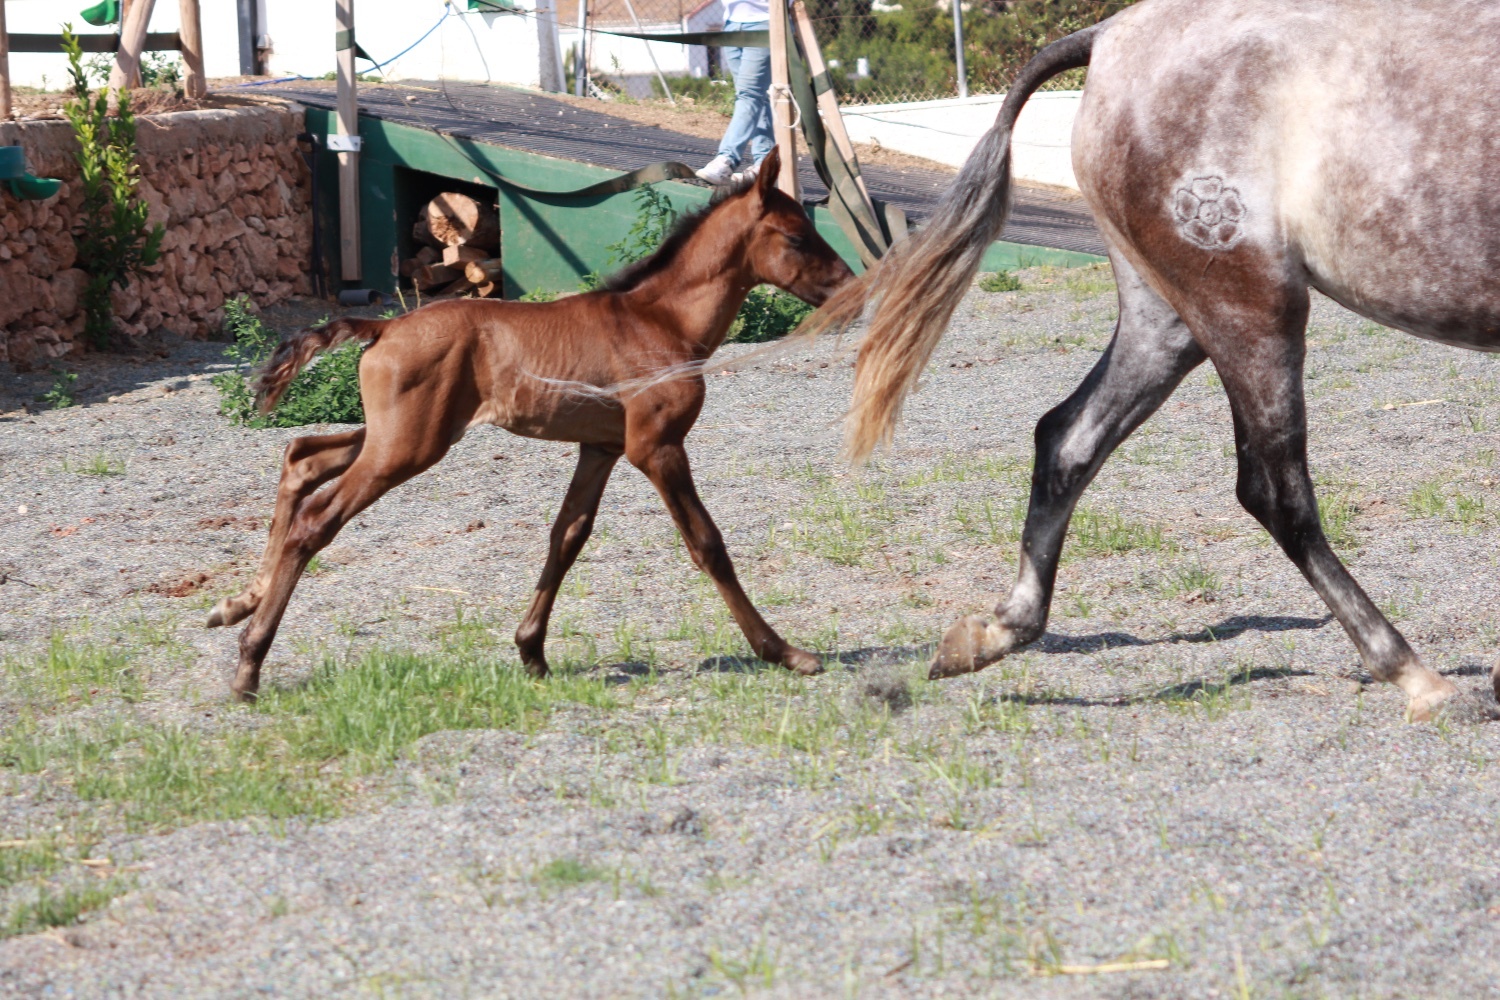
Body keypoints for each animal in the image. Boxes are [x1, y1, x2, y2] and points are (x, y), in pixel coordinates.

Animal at [207, 148, 854, 700]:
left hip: (399, 434)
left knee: (301, 457)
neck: (660, 323)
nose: (847, 288)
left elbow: (567, 537)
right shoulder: (657, 446)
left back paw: (238, 604)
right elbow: (707, 543)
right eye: (798, 236)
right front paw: (784, 651)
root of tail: (383, 328)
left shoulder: (600, 447)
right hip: (407, 447)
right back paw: (249, 663)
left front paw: (532, 652)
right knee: (315, 518)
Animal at [810, 0, 1500, 721]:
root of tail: (1109, 38)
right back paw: (1415, 675)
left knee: (1066, 439)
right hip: (1249, 306)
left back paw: (993, 633)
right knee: (1276, 492)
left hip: (1168, 320)